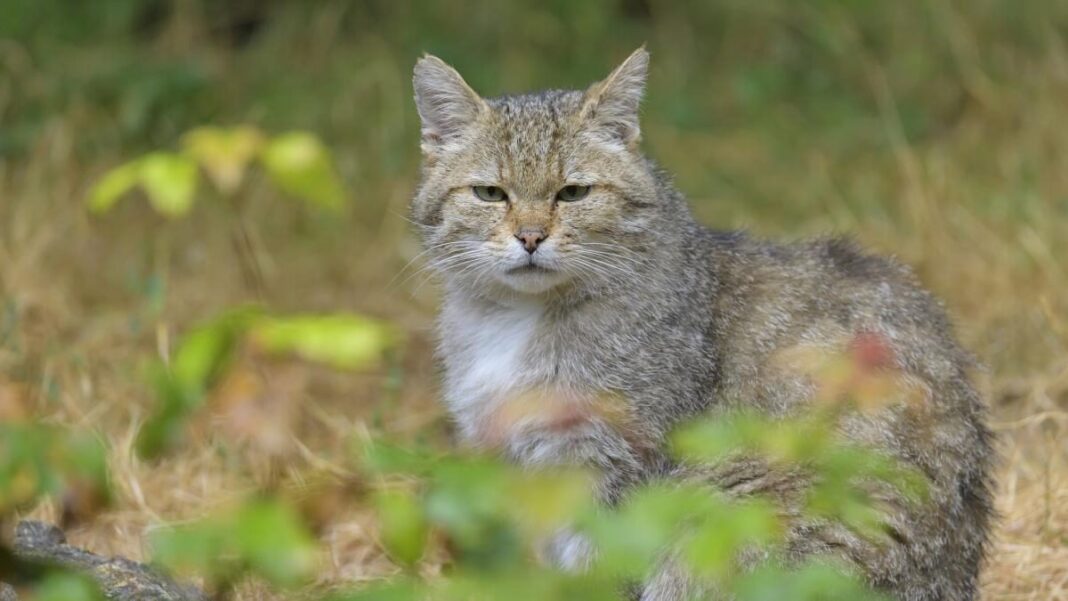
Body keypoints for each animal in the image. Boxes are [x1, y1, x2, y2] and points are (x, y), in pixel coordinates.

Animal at [405, 48, 991, 601]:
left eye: (573, 193)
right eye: (490, 193)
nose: (529, 237)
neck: (517, 319)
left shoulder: (617, 466)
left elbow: (599, 572)